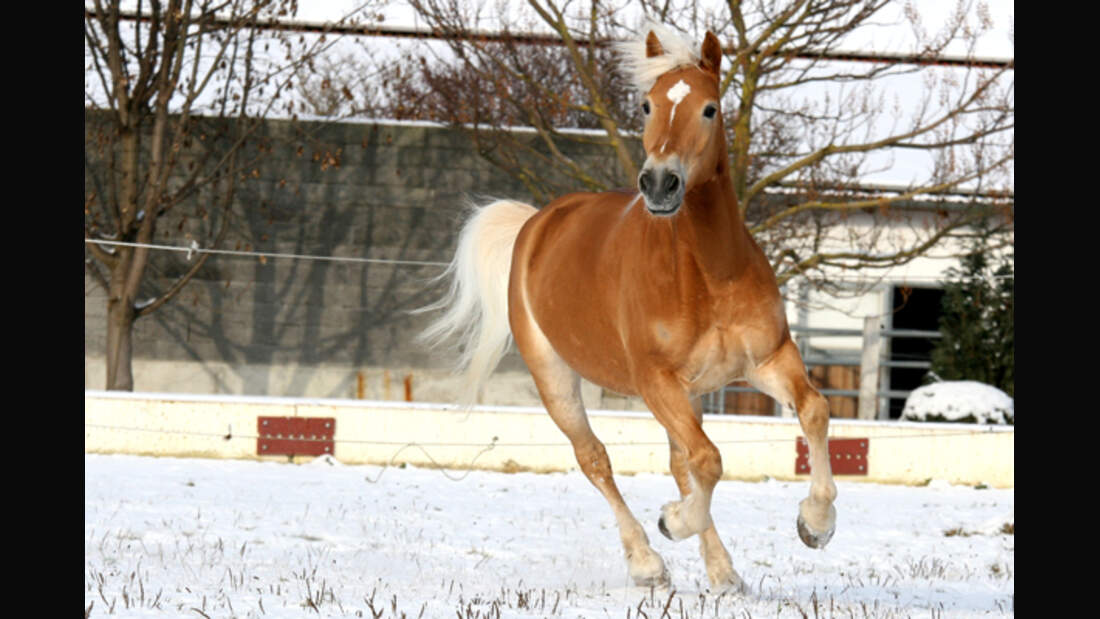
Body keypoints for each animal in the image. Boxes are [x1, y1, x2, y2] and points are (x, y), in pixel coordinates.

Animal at [415, 24, 836, 593]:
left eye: (709, 108)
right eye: (646, 105)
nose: (659, 183)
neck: (707, 273)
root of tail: (537, 223)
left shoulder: (767, 360)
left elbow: (812, 412)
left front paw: (815, 524)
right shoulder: (654, 381)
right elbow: (708, 460)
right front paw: (672, 521)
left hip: (688, 393)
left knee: (681, 462)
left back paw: (723, 571)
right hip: (556, 377)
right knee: (596, 459)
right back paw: (647, 562)